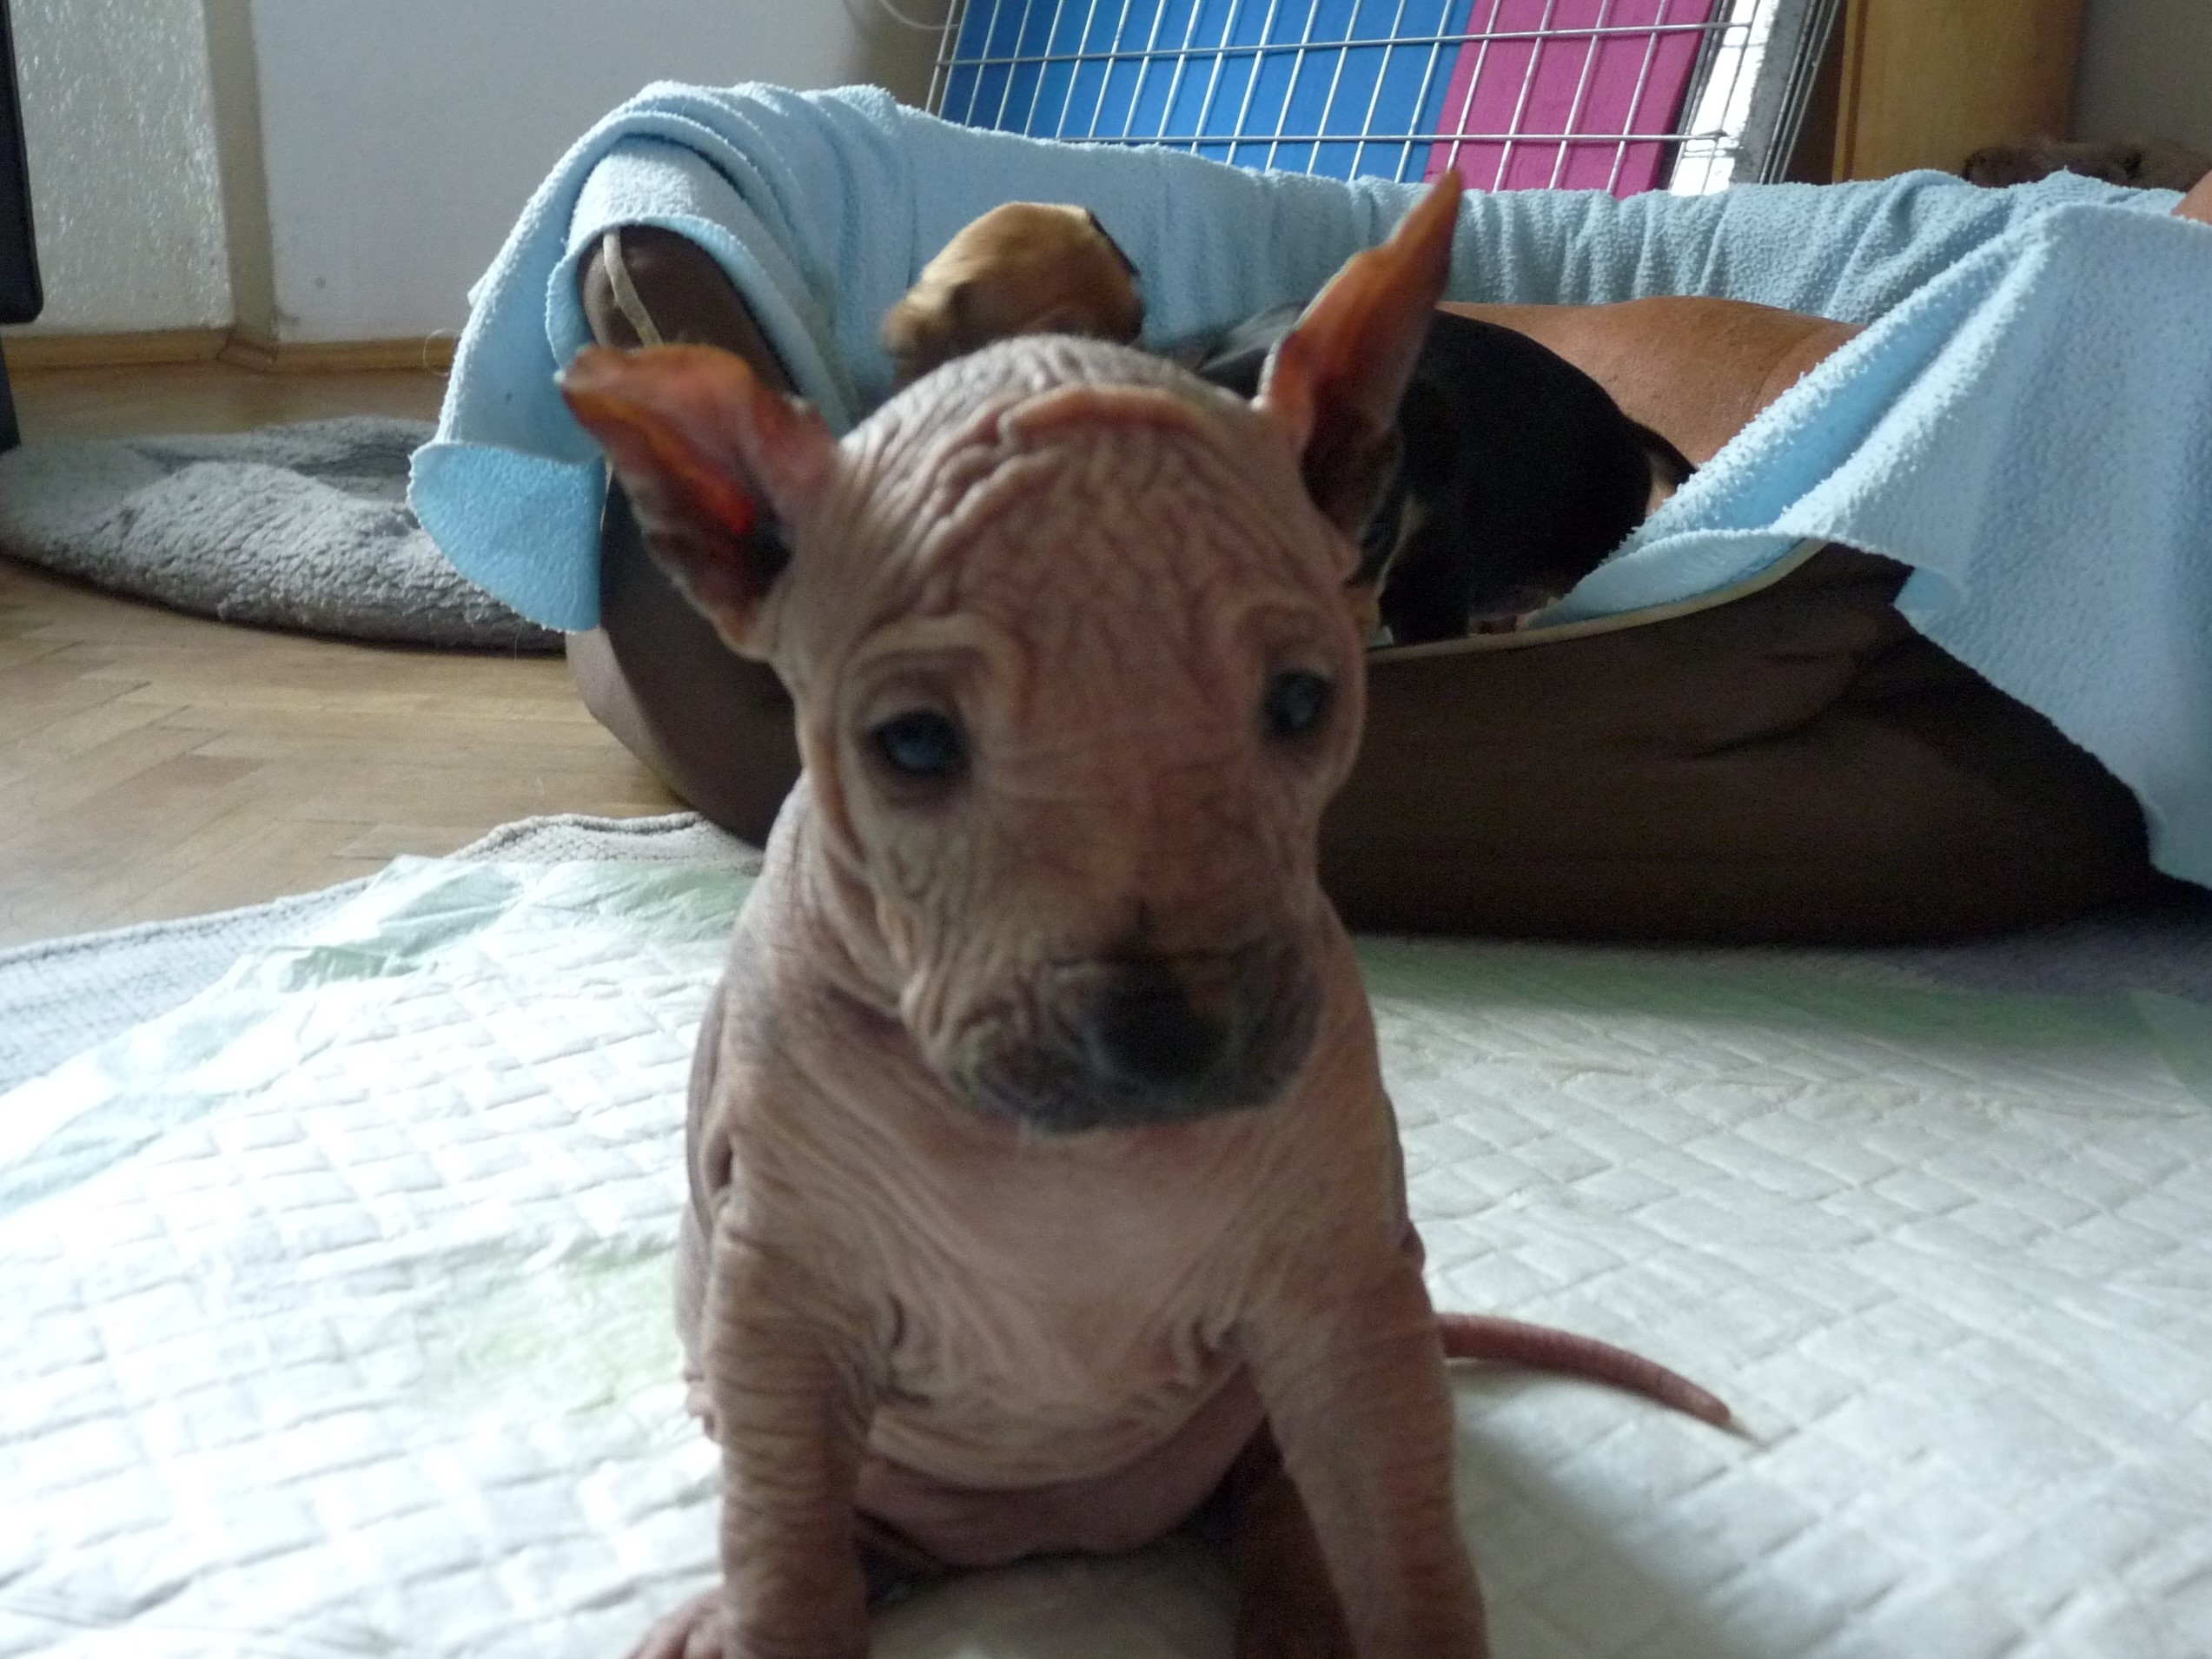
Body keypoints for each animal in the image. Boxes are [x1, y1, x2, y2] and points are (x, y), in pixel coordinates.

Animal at [562, 175, 1726, 1659]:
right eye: (911, 744)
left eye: (1302, 704)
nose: (1171, 1042)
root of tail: (1057, 1531)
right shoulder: (780, 1306)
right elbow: (788, 1561)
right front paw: (762, 1614)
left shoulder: (1345, 1297)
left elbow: (1404, 1551)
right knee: (834, 1535)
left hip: (1269, 1424)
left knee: (1296, 1513)